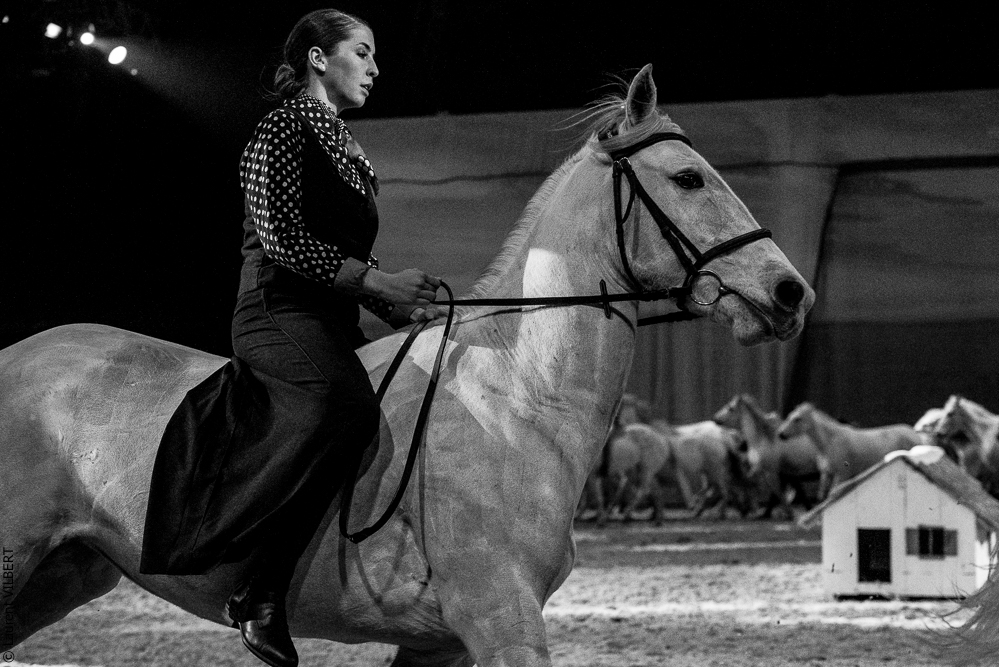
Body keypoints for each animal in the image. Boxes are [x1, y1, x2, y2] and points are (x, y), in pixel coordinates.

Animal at [0, 65, 812, 666]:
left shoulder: (443, 643)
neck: (514, 396)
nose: (789, 293)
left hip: (63, 575)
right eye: (688, 178)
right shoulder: (500, 618)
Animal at [777, 402, 922, 499]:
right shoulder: (826, 474)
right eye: (789, 416)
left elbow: (832, 494)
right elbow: (822, 497)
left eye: (797, 419)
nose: (781, 434)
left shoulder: (842, 475)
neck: (829, 442)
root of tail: (916, 434)